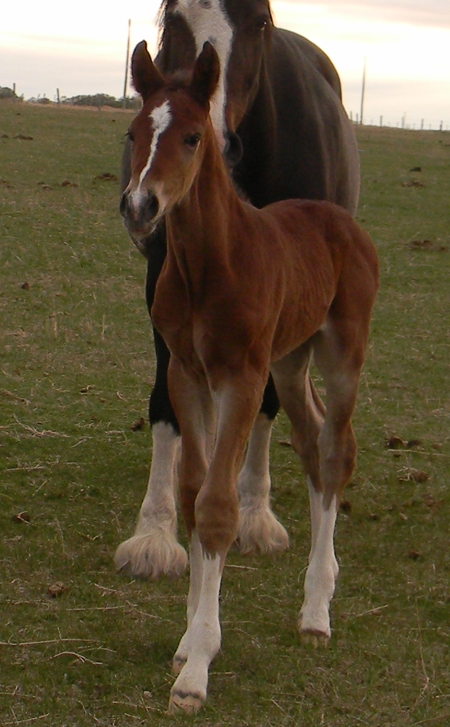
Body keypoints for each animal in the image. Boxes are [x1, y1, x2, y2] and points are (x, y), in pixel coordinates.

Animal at [119, 40, 379, 713]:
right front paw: (188, 639)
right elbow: (190, 493)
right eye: (134, 131)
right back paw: (320, 590)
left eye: (191, 137)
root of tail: (342, 220)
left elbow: (216, 504)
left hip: (339, 353)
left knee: (336, 450)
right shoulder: (187, 372)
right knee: (311, 441)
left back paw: (316, 613)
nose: (139, 207)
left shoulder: (239, 376)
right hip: (289, 361)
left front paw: (196, 670)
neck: (212, 262)